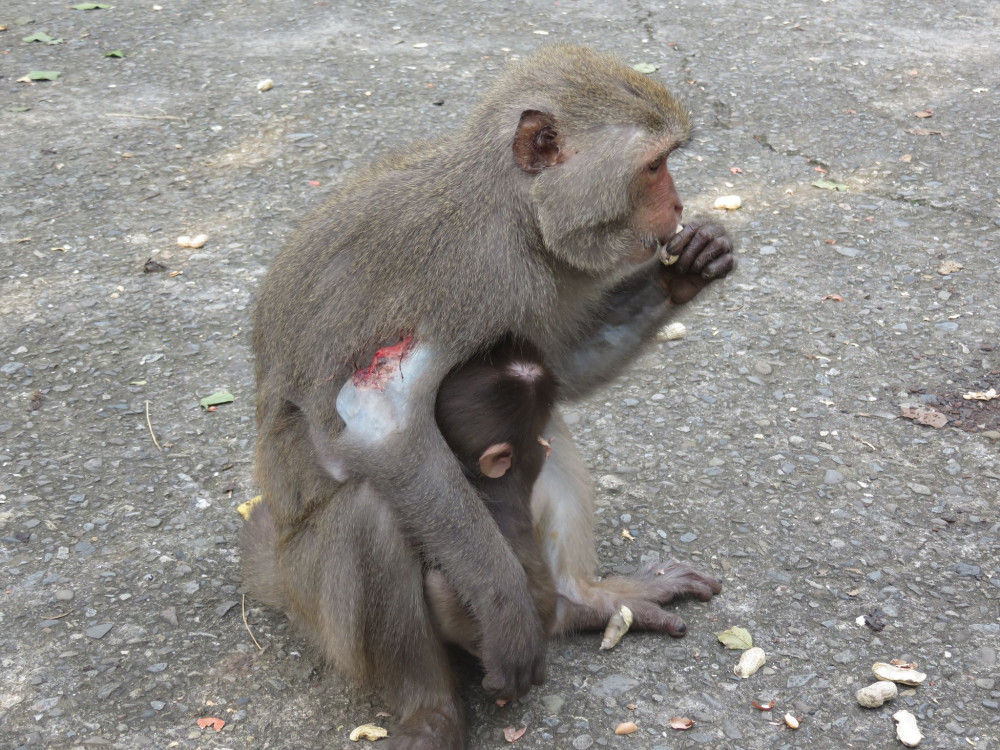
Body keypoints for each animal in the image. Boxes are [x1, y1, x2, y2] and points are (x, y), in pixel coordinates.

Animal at [245, 44, 736, 748]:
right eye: (653, 166)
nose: (676, 204)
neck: (516, 211)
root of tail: (283, 577)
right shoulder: (467, 276)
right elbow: (384, 433)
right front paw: (508, 614)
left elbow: (558, 369)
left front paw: (692, 263)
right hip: (318, 599)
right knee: (371, 510)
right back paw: (432, 709)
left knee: (542, 424)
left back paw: (582, 602)